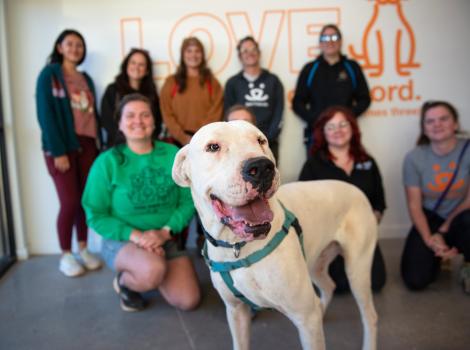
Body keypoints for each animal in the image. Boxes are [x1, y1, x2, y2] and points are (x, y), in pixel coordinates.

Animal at [173, 121, 378, 350]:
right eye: (213, 147)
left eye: (260, 140)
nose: (261, 167)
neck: (238, 246)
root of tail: (356, 189)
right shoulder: (236, 312)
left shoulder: (305, 317)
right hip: (316, 263)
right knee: (328, 287)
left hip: (357, 270)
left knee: (370, 315)